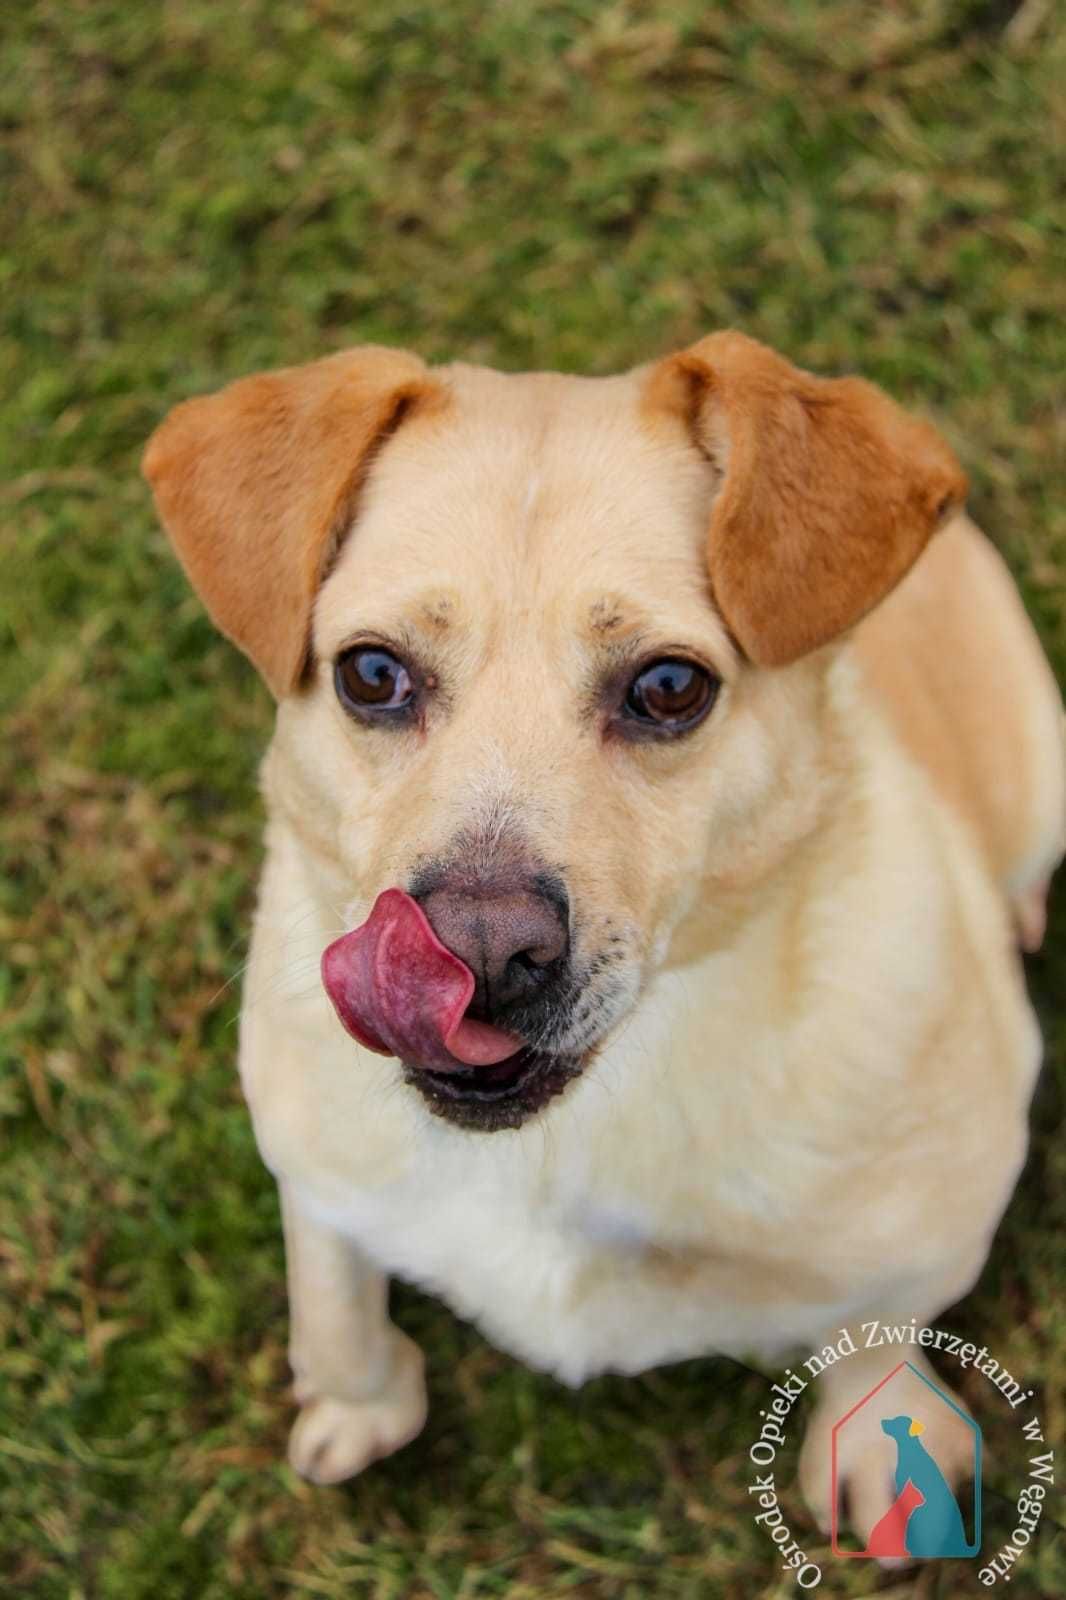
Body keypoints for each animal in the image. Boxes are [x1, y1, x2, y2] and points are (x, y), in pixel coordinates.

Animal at [145, 337, 1056, 1548]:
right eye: (371, 674)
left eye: (669, 687)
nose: (479, 952)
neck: (558, 1140)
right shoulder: (307, 1149)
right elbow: (330, 1290)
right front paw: (357, 1403)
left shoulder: (945, 1211)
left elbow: (881, 1330)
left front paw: (874, 1443)